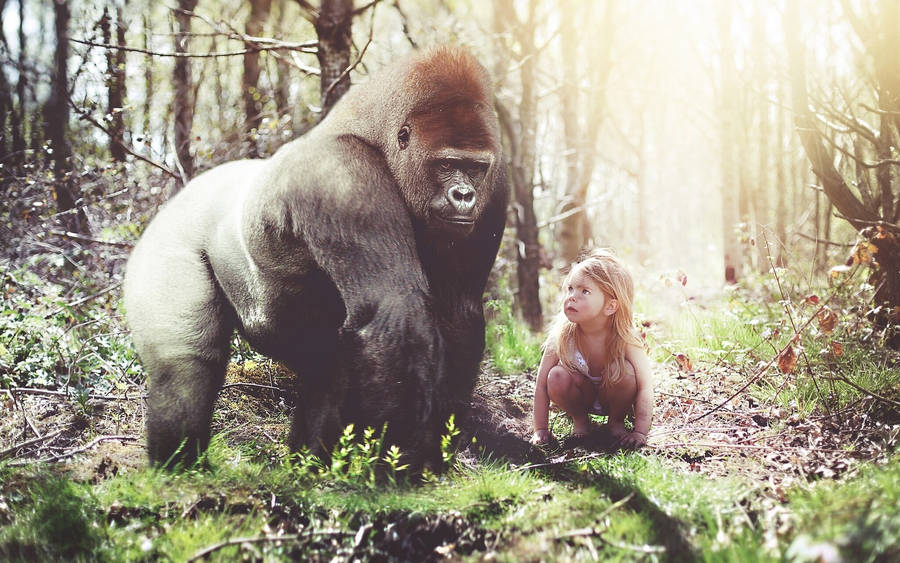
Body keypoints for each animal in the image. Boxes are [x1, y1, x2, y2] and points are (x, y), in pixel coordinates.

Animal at [123, 45, 509, 470]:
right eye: (446, 164)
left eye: (475, 168)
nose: (464, 195)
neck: (374, 135)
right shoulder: (342, 176)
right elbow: (394, 310)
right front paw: (398, 467)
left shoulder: (496, 186)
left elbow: (458, 311)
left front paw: (433, 449)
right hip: (169, 236)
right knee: (186, 367)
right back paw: (180, 465)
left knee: (325, 365)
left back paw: (307, 464)